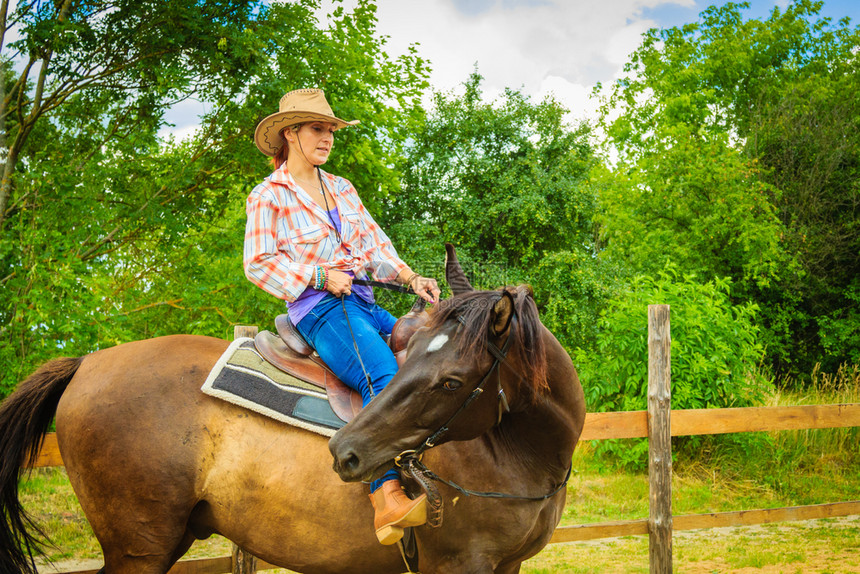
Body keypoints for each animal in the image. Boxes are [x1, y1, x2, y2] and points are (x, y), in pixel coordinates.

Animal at [0, 248, 584, 574]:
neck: (518, 454)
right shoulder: (462, 563)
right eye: (411, 354)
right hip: (138, 549)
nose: (345, 451)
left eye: (452, 380)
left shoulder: (506, 565)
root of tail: (86, 363)